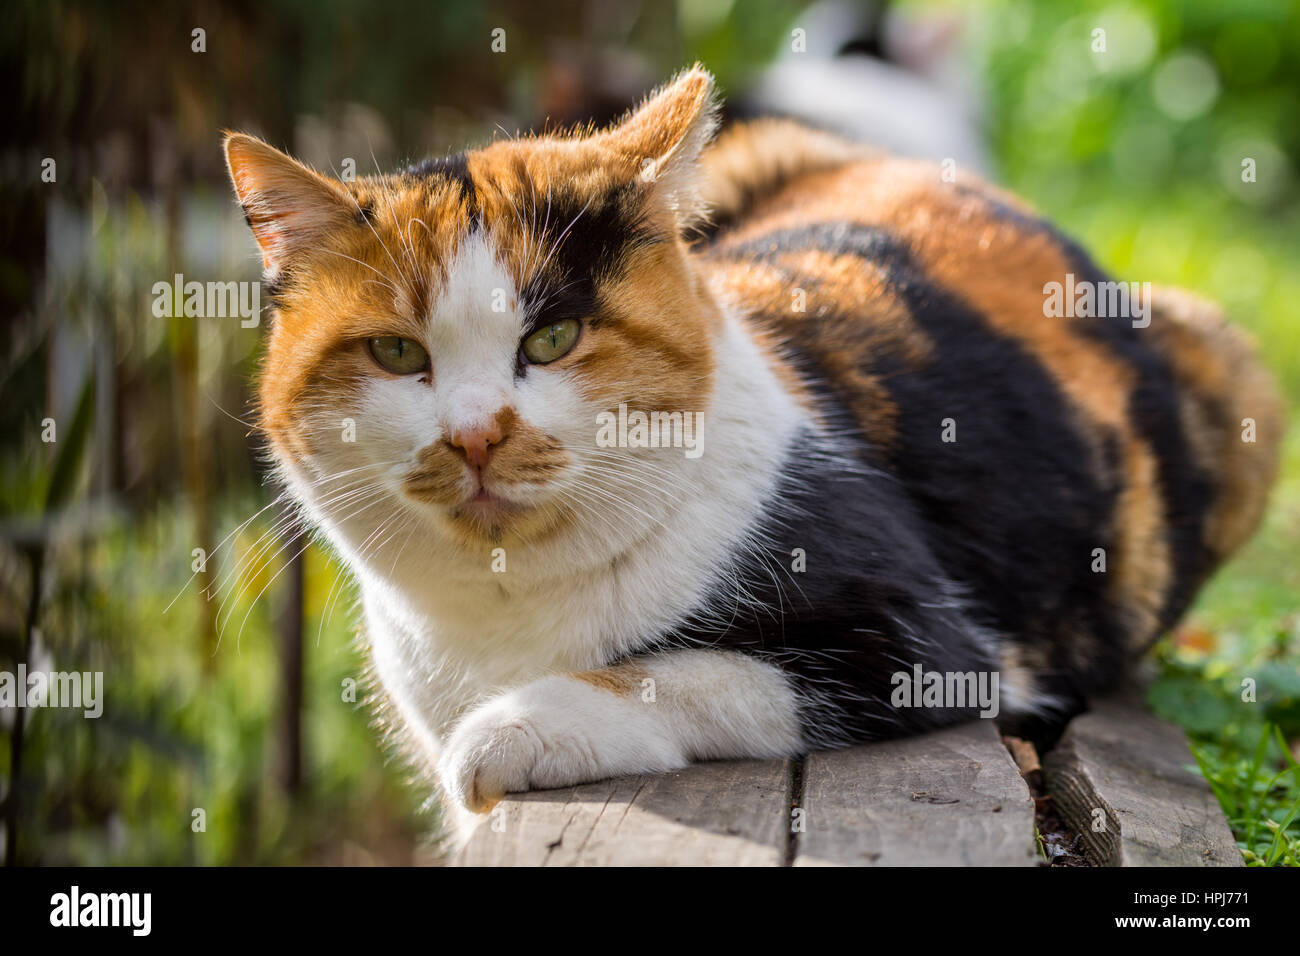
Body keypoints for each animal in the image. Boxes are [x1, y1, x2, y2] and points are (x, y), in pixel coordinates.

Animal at [223, 65, 1279, 837]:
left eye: (554, 339)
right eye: (399, 354)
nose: (476, 434)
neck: (501, 613)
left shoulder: (929, 645)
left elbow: (698, 672)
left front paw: (516, 728)